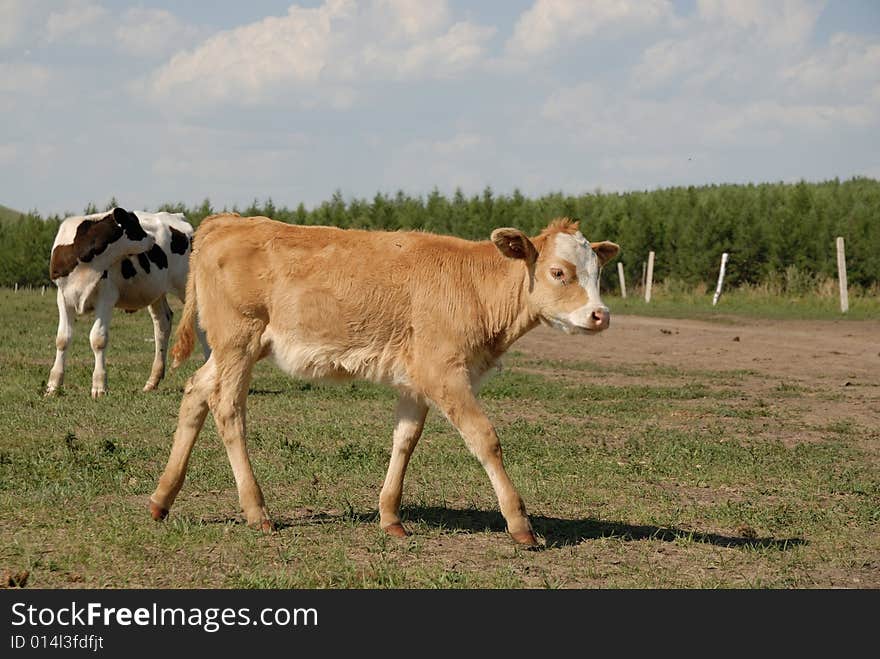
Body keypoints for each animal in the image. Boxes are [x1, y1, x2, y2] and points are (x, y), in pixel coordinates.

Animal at [46, 206, 210, 398]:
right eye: (134, 225)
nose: (152, 240)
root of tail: (178, 217)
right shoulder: (63, 296)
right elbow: (62, 339)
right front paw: (53, 385)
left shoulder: (106, 297)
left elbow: (98, 339)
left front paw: (99, 386)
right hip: (155, 290)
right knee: (162, 323)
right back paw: (152, 382)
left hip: (186, 286)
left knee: (200, 324)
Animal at [150, 214, 620, 544]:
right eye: (558, 272)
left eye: (598, 273)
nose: (601, 314)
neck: (474, 285)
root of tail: (227, 220)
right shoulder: (443, 371)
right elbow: (485, 438)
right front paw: (520, 524)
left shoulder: (415, 379)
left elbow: (405, 441)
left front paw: (391, 516)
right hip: (237, 340)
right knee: (228, 408)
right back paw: (256, 510)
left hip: (235, 347)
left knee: (196, 391)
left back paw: (161, 499)